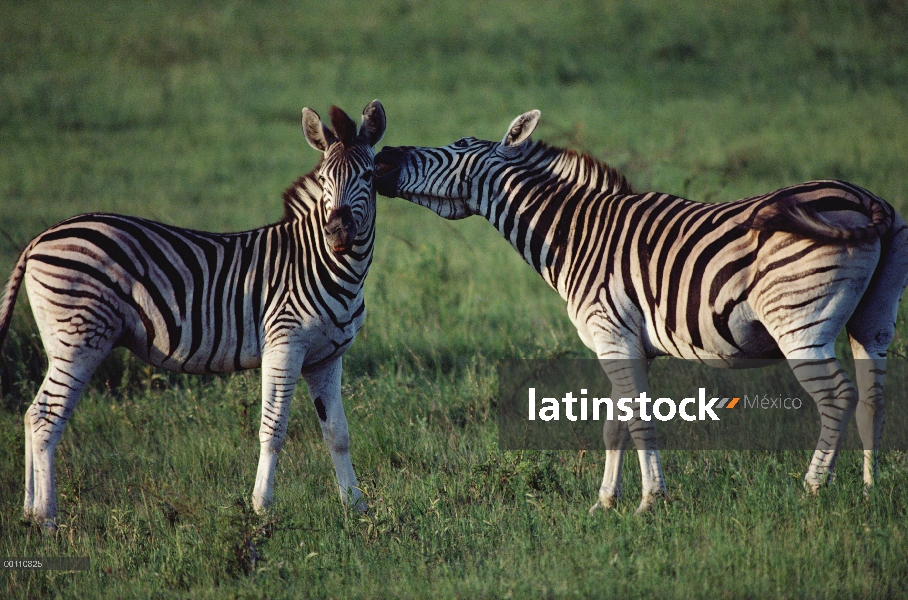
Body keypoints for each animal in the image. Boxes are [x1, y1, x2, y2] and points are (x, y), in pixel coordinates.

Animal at [0, 101, 386, 532]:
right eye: (323, 179)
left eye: (368, 175)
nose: (338, 234)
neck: (325, 265)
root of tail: (38, 239)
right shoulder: (284, 344)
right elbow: (273, 429)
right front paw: (262, 508)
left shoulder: (327, 357)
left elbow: (338, 432)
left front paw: (356, 506)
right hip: (79, 339)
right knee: (44, 418)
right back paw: (47, 519)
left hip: (66, 342)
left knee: (31, 416)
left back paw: (29, 514)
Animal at [374, 112, 908, 516]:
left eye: (458, 145)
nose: (383, 157)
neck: (574, 234)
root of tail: (866, 199)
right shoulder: (626, 343)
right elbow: (614, 423)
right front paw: (604, 503)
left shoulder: (610, 332)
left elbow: (637, 420)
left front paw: (650, 502)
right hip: (874, 321)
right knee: (872, 399)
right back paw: (869, 492)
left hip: (799, 321)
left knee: (837, 396)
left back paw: (813, 489)